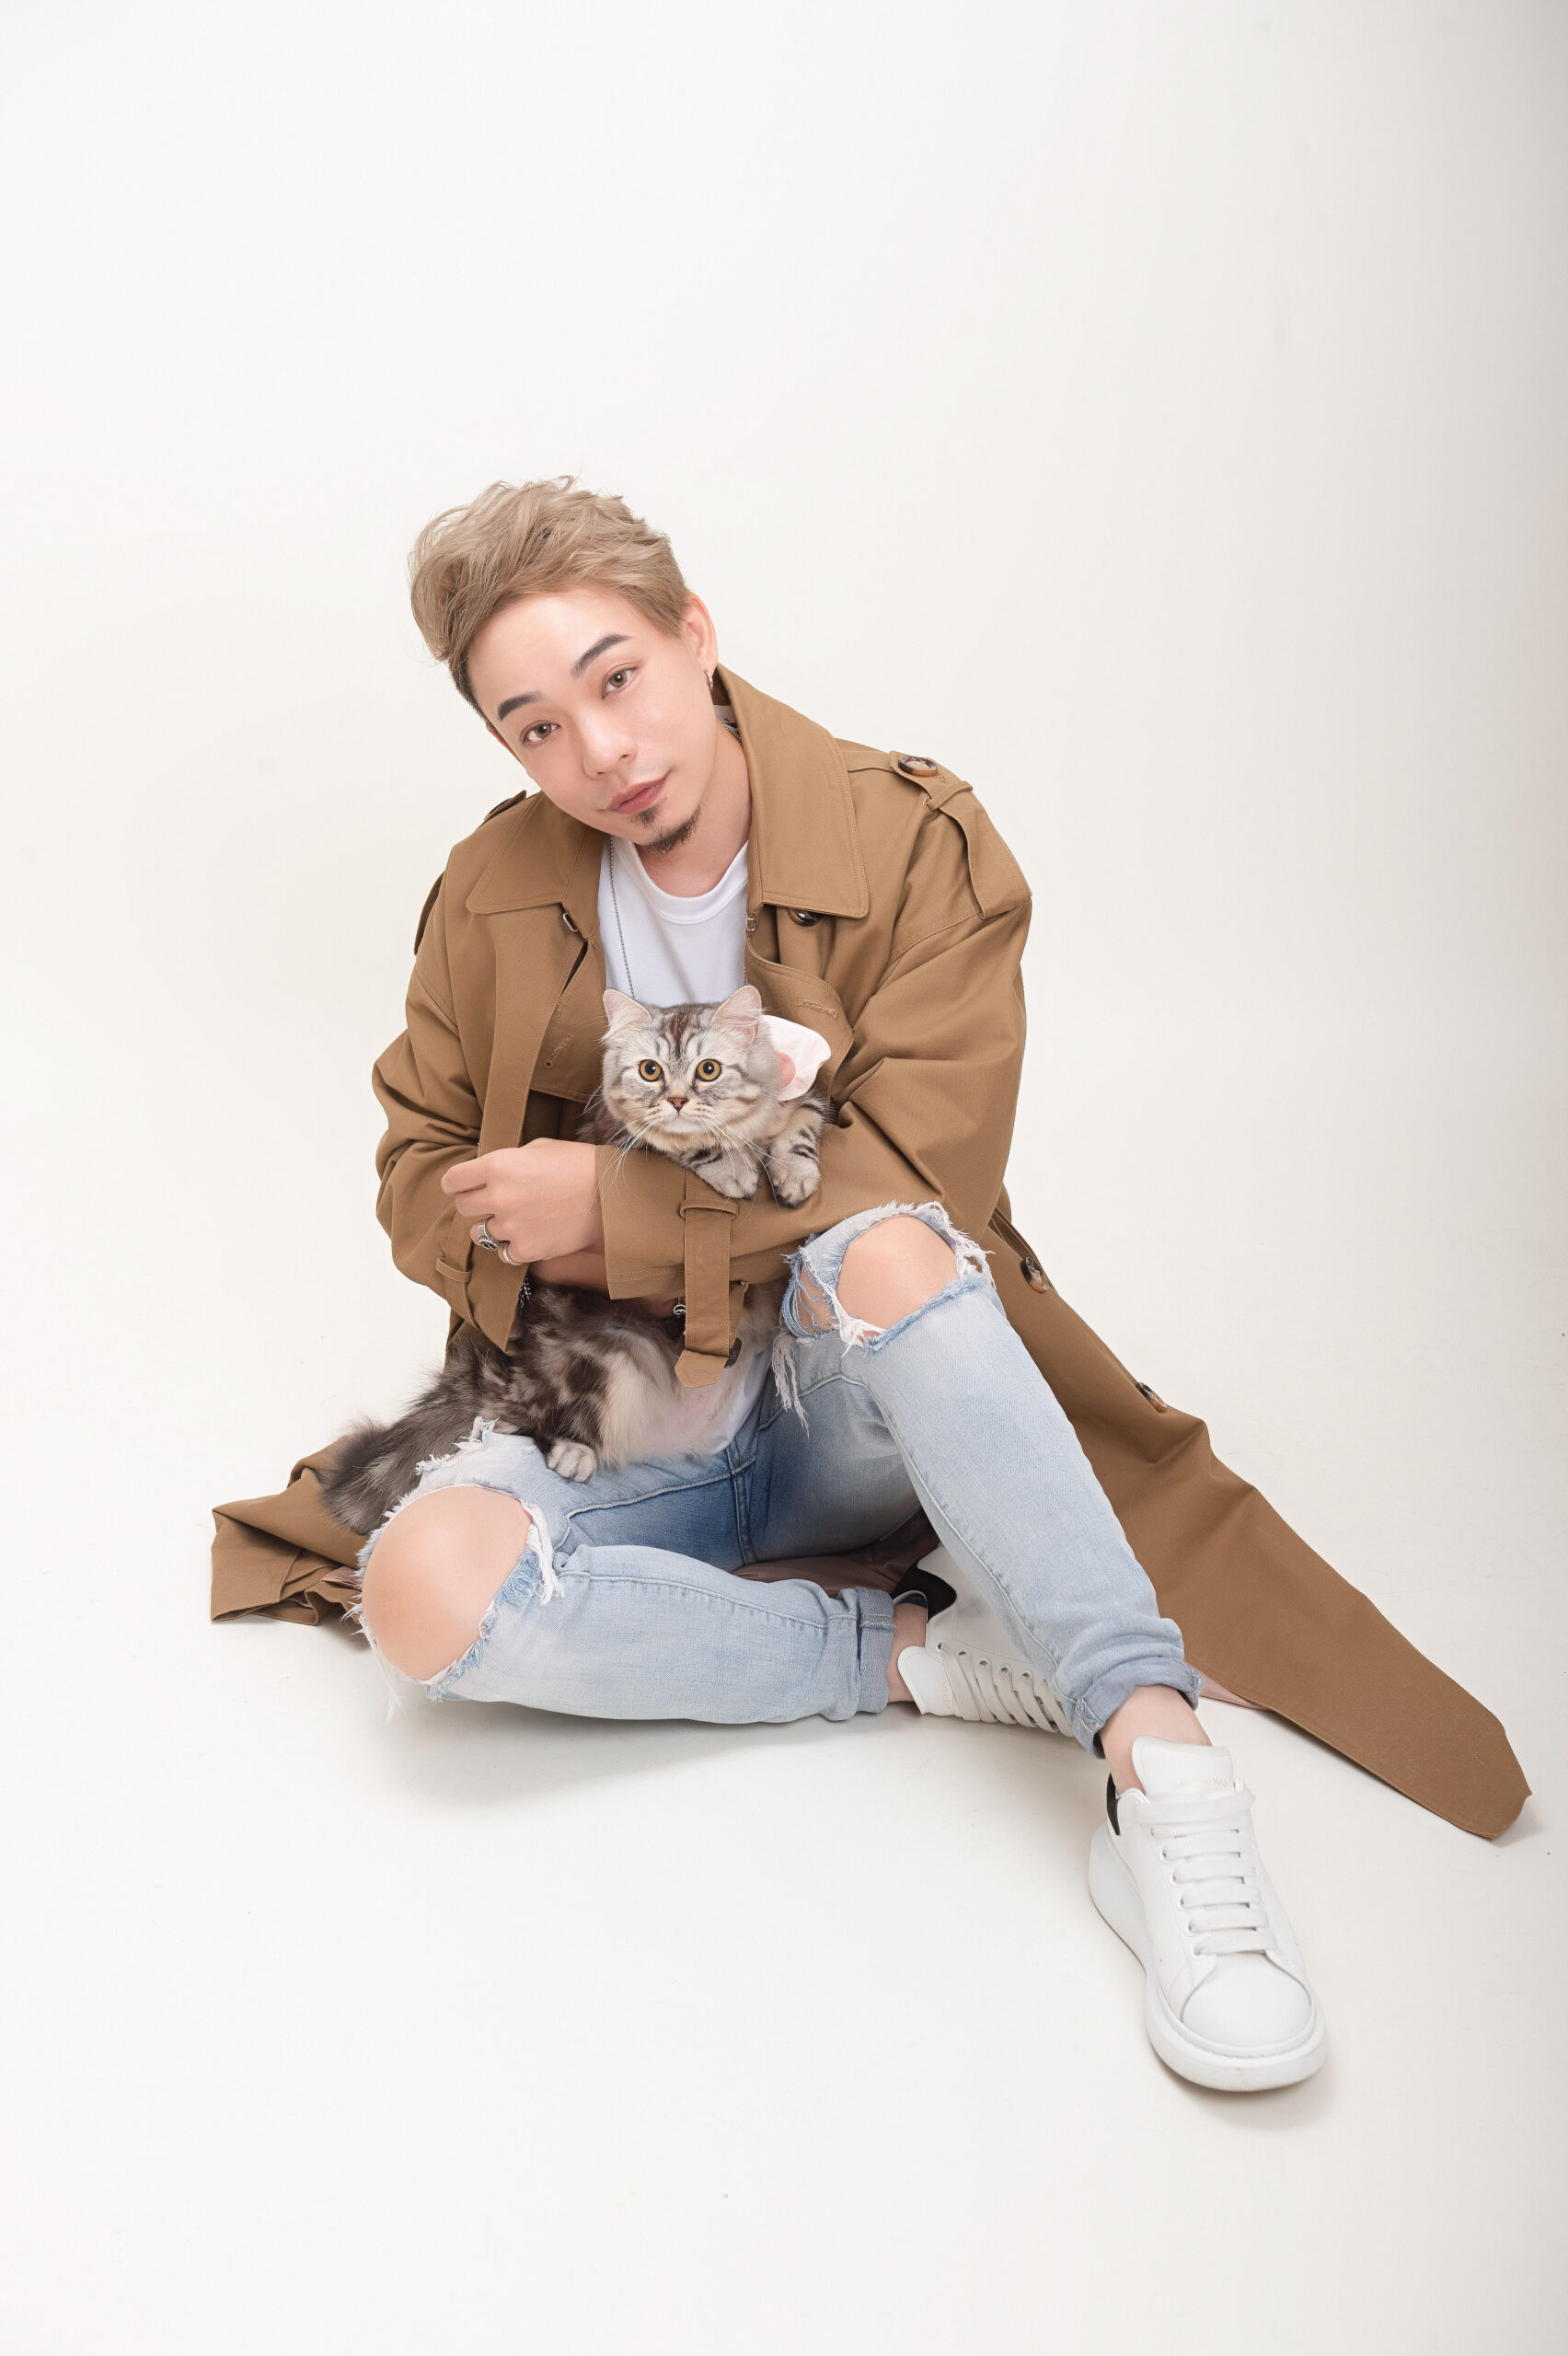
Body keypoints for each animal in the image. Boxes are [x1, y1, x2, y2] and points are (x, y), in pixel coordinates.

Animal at [319, 984, 828, 1533]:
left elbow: (798, 1130)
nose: (675, 1100)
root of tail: (512, 1373)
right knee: (528, 1420)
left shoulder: (806, 1100)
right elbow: (680, 1148)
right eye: (651, 1071)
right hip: (604, 1354)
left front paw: (794, 1176)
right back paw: (571, 1452)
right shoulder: (621, 1138)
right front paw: (733, 1168)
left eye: (708, 1070)